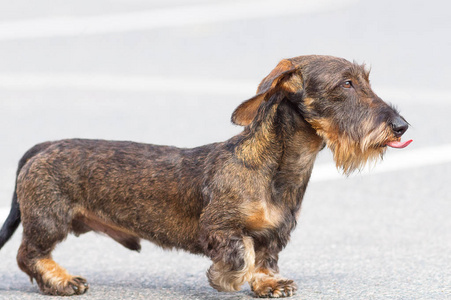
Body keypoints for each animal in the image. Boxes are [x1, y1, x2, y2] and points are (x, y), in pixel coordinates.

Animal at [0, 55, 414, 296]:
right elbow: (242, 252)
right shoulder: (218, 227)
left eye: (365, 81)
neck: (275, 171)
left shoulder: (275, 233)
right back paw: (61, 280)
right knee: (28, 254)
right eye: (346, 84)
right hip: (49, 219)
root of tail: (45, 146)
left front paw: (267, 283)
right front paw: (227, 279)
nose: (401, 126)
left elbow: (264, 258)